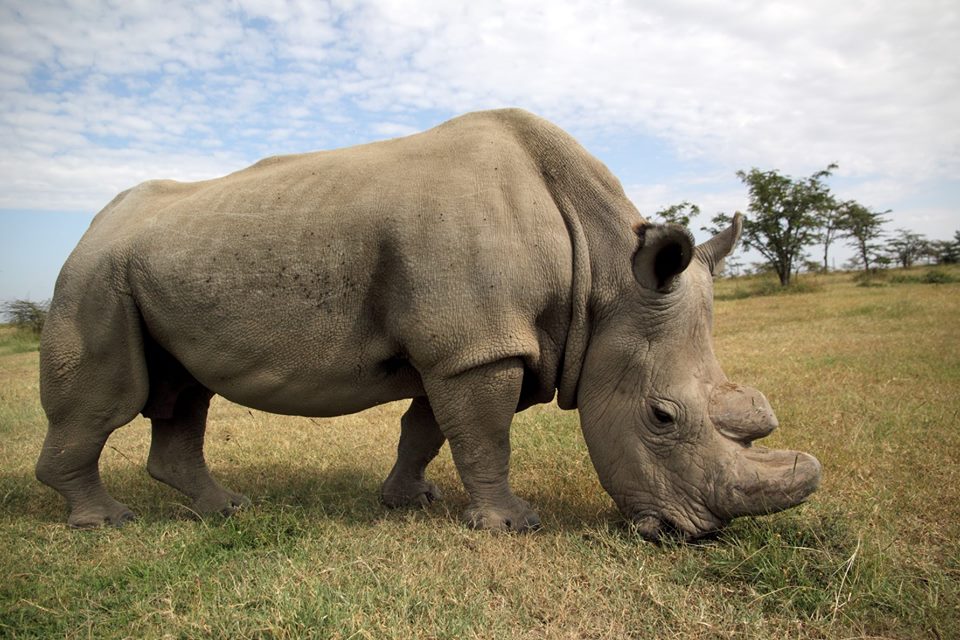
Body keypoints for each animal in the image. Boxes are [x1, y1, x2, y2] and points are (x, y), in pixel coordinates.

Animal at [37, 109, 820, 540]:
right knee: (109, 399)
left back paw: (224, 509)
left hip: (152, 264)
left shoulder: (474, 343)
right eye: (661, 417)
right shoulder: (478, 346)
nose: (697, 535)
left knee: (183, 393)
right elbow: (484, 435)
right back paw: (107, 523)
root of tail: (95, 222)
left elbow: (430, 429)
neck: (604, 277)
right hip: (94, 275)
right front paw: (513, 525)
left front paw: (408, 501)